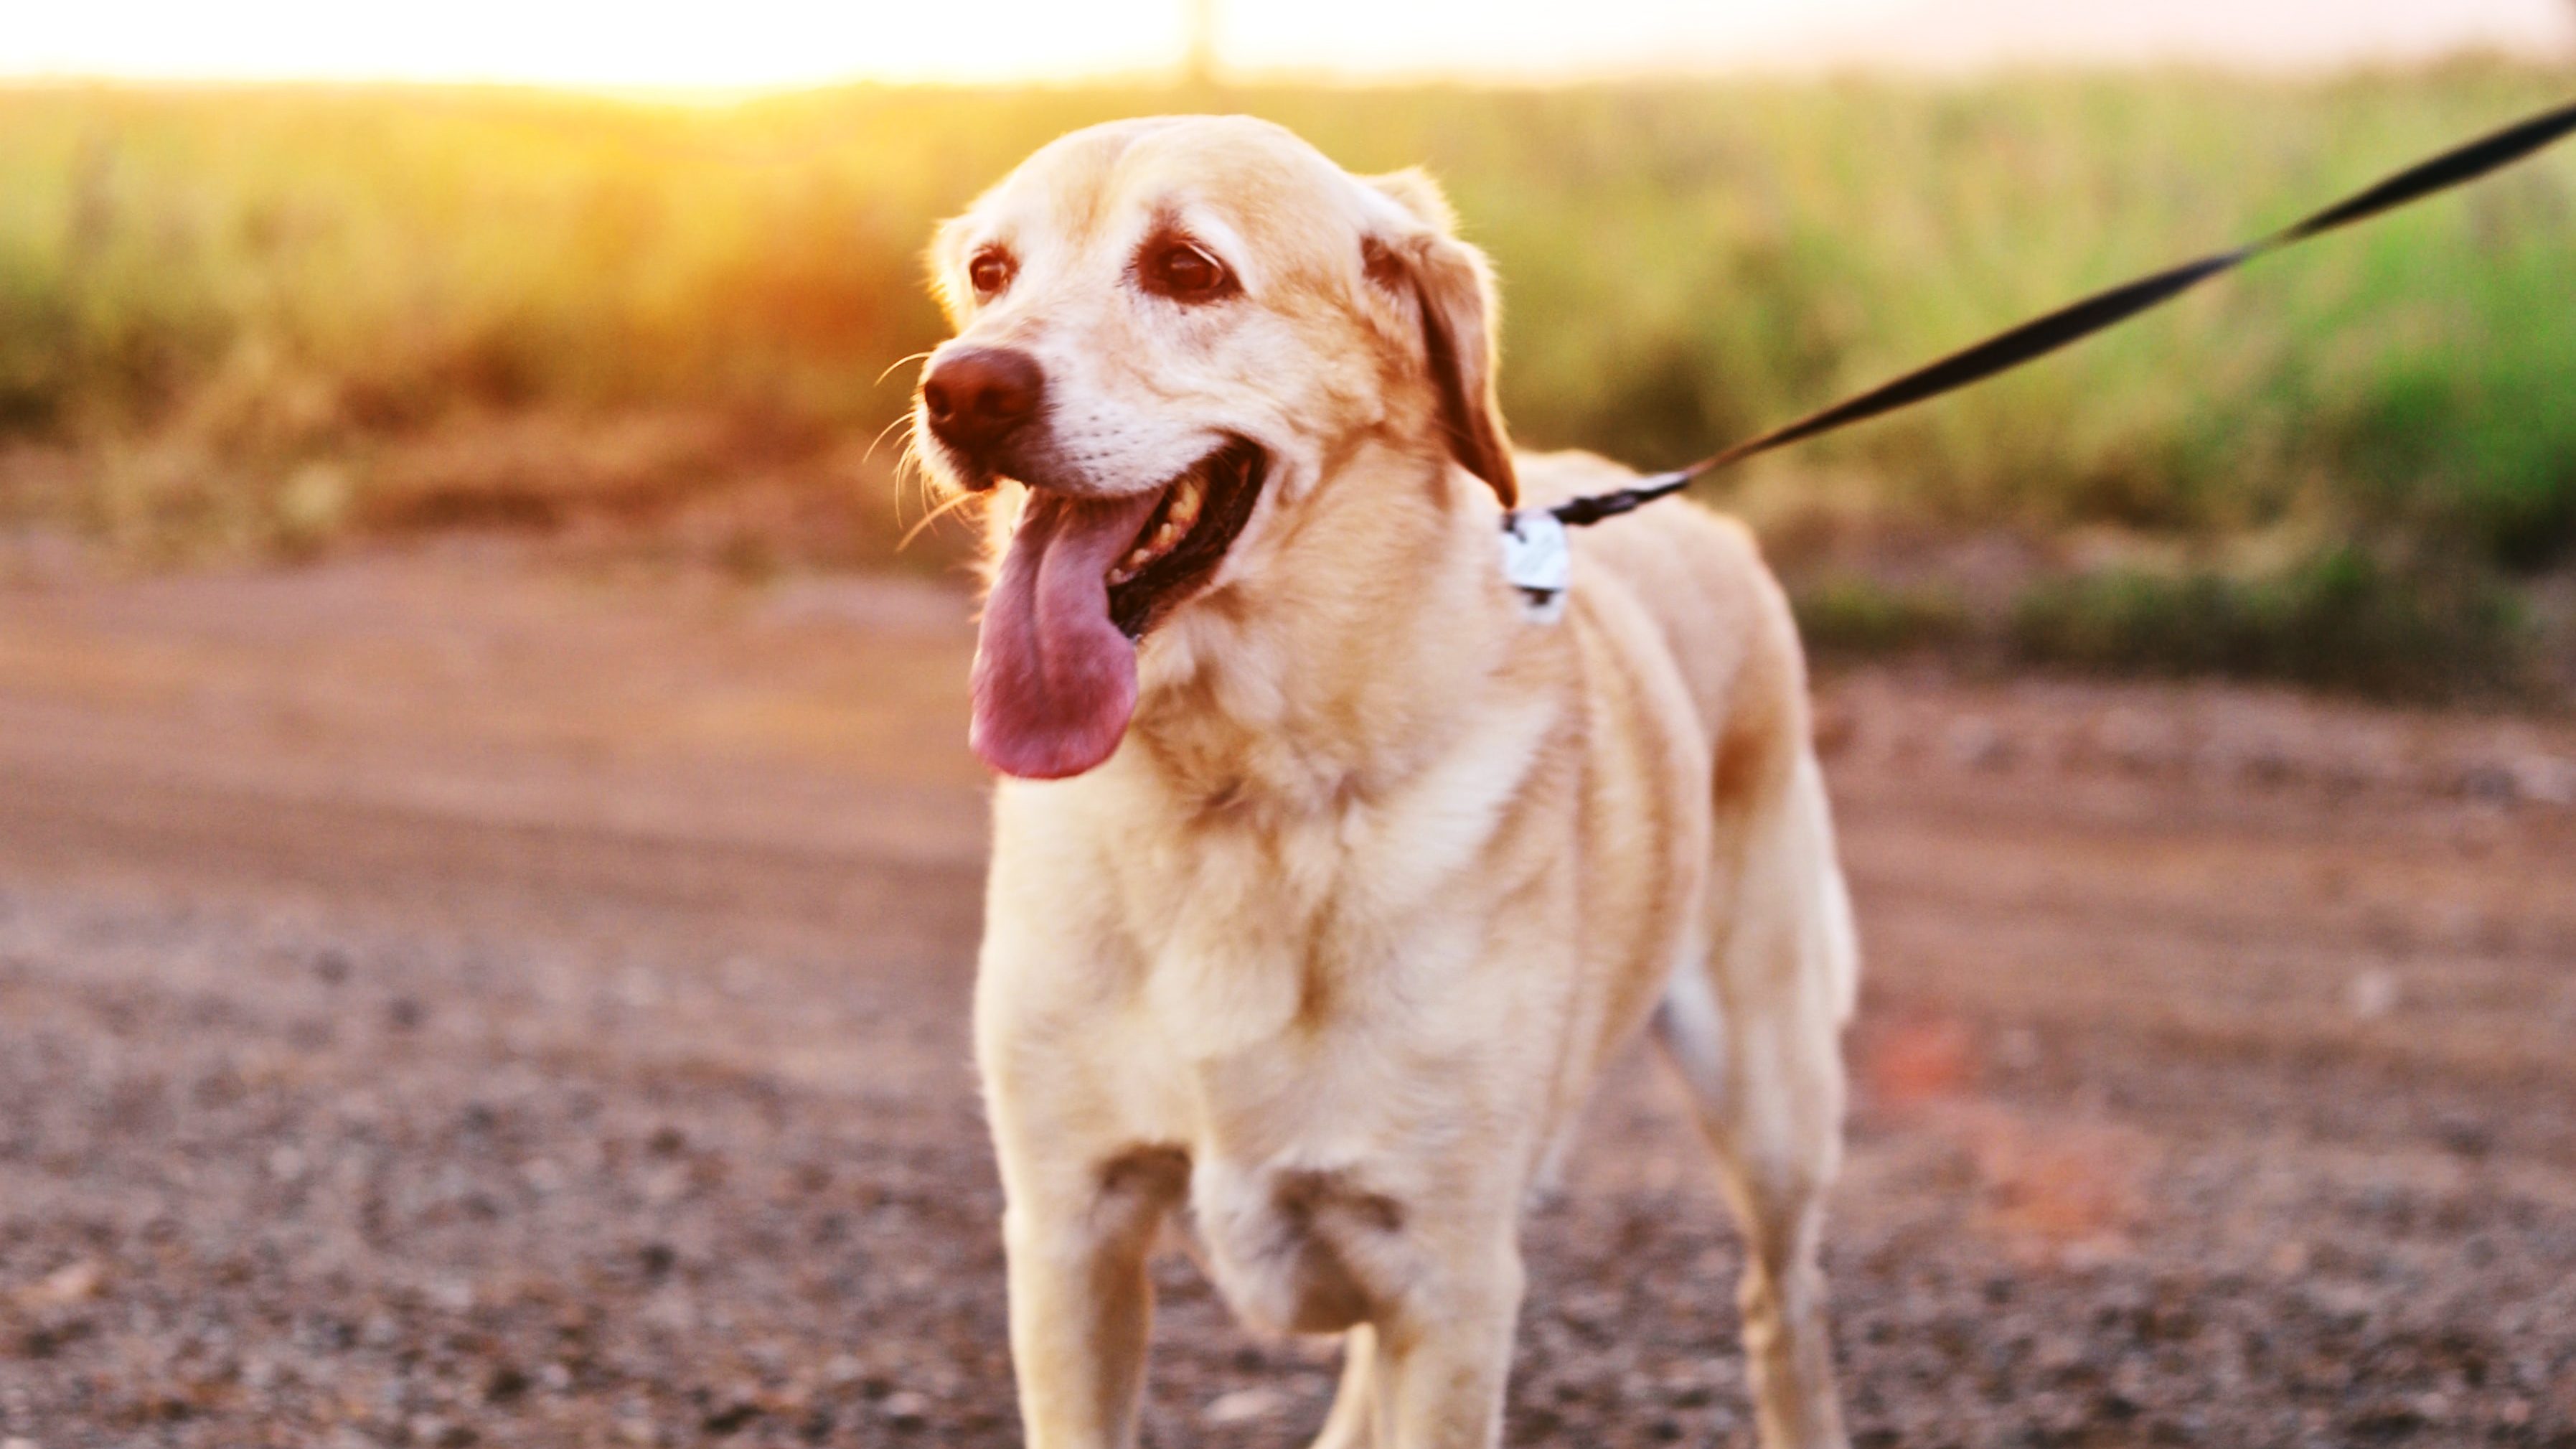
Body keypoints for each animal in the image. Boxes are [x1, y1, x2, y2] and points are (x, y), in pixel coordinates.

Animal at [917, 115, 1865, 1443]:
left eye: (1188, 269)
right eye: (990, 272)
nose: (961, 389)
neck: (1238, 798)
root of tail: (1705, 519)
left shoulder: (1449, 1282)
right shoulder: (1070, 1237)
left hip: (1772, 1101)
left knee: (1785, 1303)